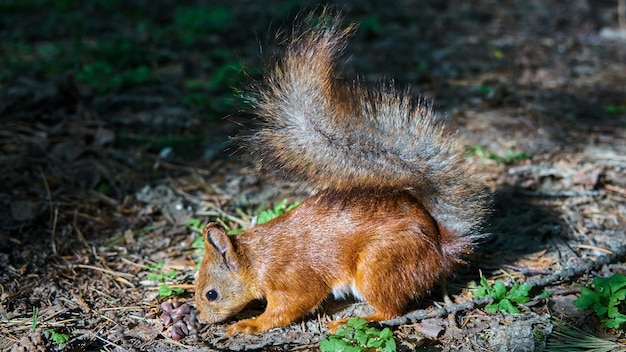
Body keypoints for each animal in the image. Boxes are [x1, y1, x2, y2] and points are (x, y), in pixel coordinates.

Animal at [193, 11, 490, 336]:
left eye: (211, 293)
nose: (202, 320)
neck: (257, 257)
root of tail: (438, 252)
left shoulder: (292, 278)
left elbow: (288, 307)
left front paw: (249, 324)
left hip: (379, 266)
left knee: (390, 310)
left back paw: (351, 320)